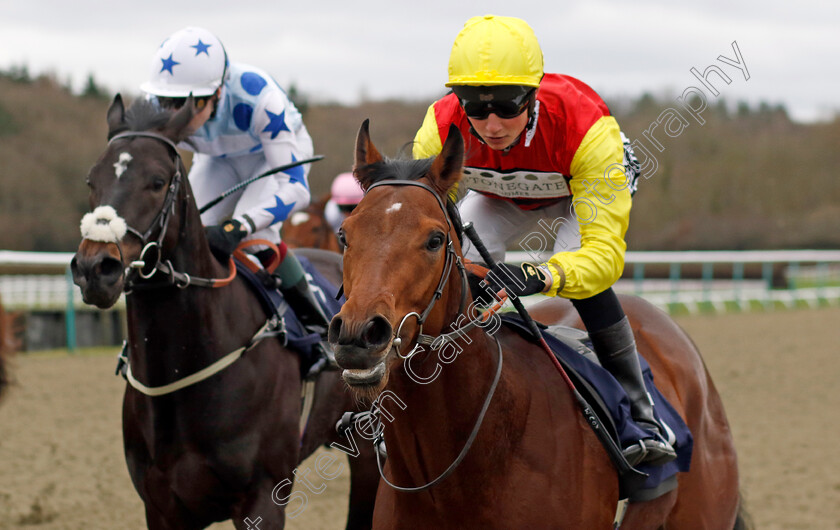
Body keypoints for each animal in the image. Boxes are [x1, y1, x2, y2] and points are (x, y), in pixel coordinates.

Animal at [69, 96, 378, 528]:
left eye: (157, 181)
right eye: (91, 180)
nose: (96, 268)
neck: (183, 370)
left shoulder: (263, 498)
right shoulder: (161, 506)